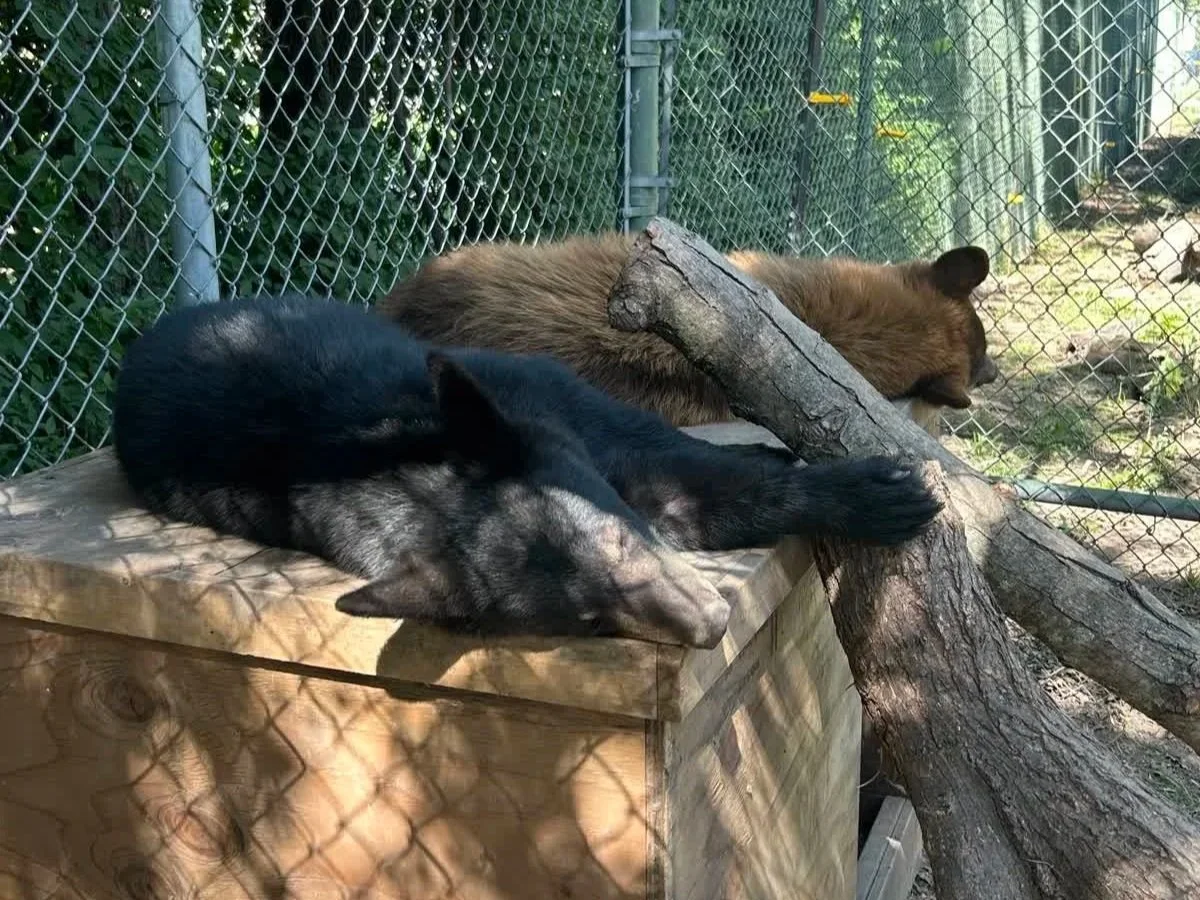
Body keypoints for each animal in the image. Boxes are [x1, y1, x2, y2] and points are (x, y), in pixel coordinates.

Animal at [112, 294, 941, 647]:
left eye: (616, 542)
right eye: (588, 622)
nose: (709, 629)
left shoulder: (577, 418)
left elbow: (714, 479)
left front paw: (858, 491)